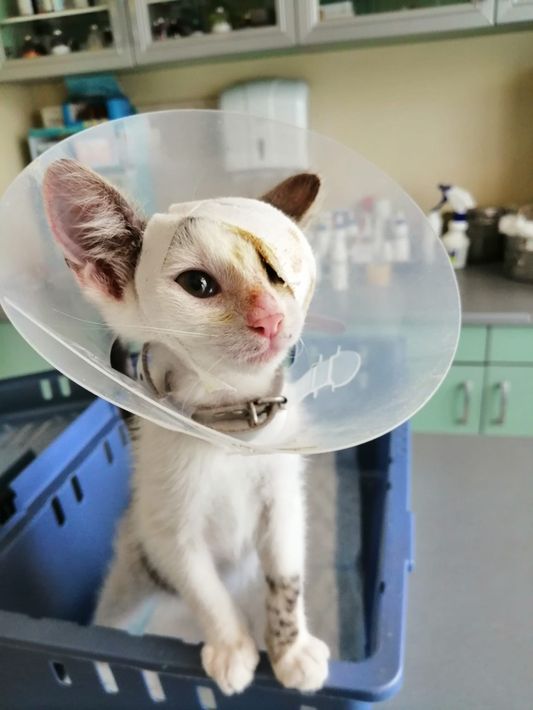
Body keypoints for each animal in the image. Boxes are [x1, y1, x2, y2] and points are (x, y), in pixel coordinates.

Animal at [43, 158, 330, 696]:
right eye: (198, 284)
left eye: (278, 273)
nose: (271, 317)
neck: (229, 427)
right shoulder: (164, 529)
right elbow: (202, 585)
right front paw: (232, 647)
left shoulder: (284, 500)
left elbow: (286, 574)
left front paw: (291, 648)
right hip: (132, 570)